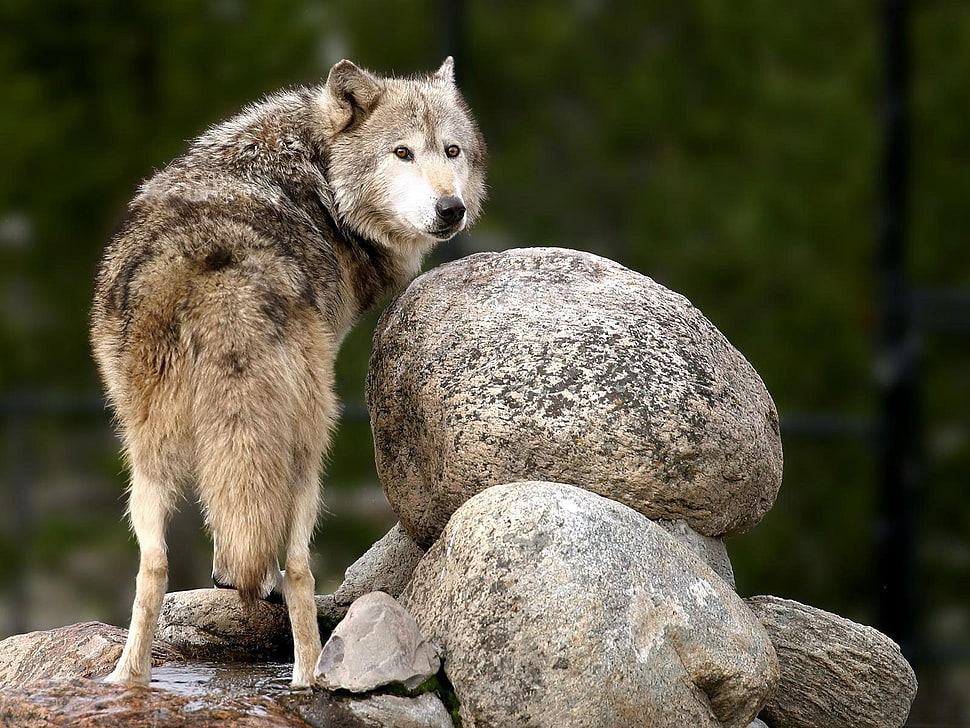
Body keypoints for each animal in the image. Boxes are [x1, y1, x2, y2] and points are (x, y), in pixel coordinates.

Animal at [90, 57, 486, 687]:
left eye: (452, 150)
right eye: (401, 152)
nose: (452, 209)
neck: (319, 175)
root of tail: (225, 277)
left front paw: (229, 577)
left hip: (145, 456)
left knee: (153, 567)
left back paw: (126, 679)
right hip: (311, 443)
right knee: (300, 566)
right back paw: (309, 676)